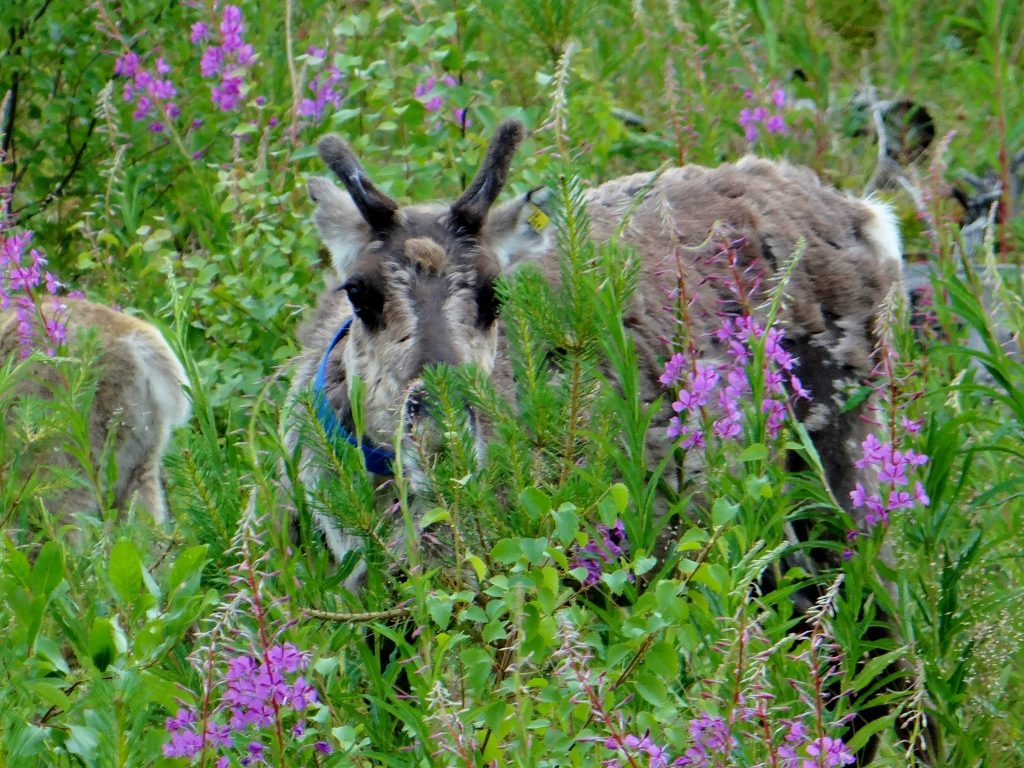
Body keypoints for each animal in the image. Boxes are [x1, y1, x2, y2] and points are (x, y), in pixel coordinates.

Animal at [288, 121, 931, 763]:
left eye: (495, 293)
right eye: (358, 290)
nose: (438, 433)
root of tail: (870, 219)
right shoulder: (375, 612)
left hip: (842, 481)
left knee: (886, 662)